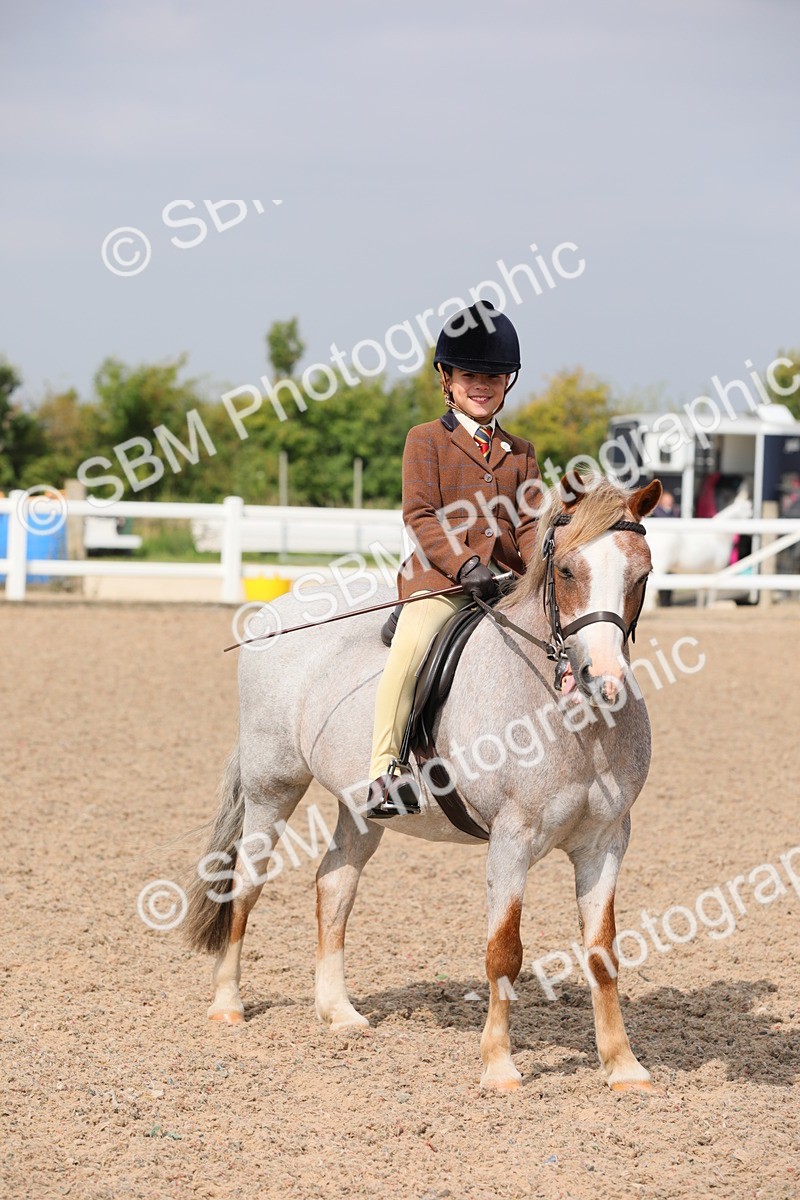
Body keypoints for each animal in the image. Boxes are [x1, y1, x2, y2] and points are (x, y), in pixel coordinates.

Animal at [185, 473, 662, 1094]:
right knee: (246, 884)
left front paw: (623, 1066)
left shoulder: (606, 841)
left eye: (642, 575)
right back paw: (228, 1005)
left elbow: (603, 953)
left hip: (359, 807)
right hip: (273, 788)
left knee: (334, 885)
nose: (603, 682)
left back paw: (338, 1013)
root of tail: (277, 613)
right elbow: (504, 952)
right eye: (566, 571)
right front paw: (499, 1066)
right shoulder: (512, 840)